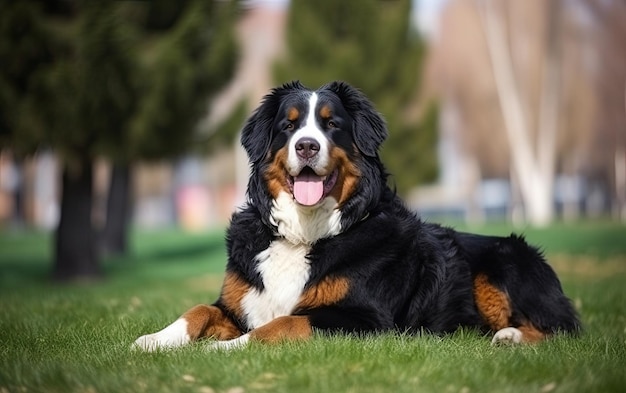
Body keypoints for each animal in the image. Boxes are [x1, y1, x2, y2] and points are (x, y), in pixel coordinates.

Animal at [134, 79, 576, 350]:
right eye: (288, 127)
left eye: (331, 125)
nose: (307, 146)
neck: (304, 233)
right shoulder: (238, 302)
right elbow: (199, 310)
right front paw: (154, 340)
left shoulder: (364, 319)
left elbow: (281, 324)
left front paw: (228, 348)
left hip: (503, 264)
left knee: (562, 330)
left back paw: (510, 338)